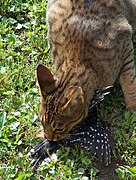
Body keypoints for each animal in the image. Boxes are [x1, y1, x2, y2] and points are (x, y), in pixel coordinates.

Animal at [36, 0, 136, 141]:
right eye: (41, 121)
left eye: (59, 128)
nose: (49, 138)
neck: (78, 60)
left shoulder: (126, 47)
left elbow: (129, 80)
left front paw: (132, 104)